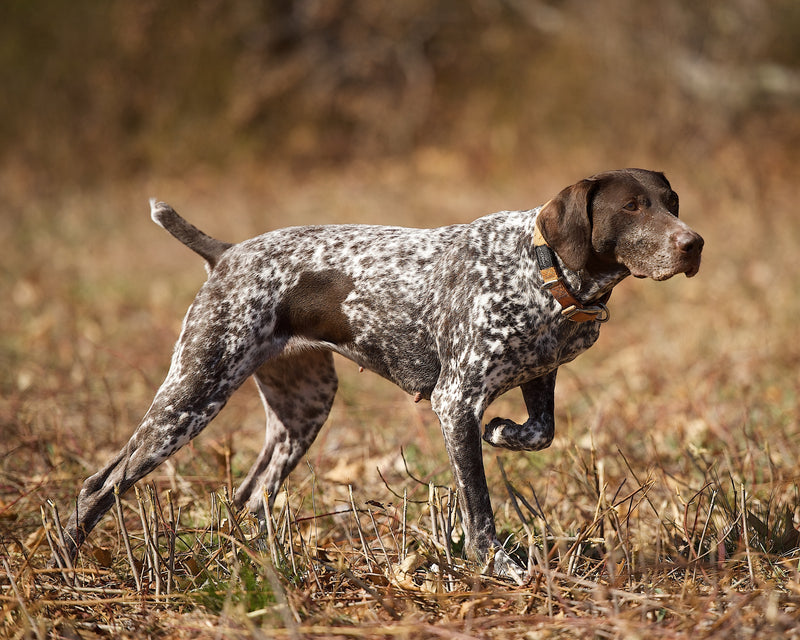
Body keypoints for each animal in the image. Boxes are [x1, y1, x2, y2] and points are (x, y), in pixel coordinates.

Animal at [54, 169, 700, 580]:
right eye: (633, 207)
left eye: (672, 200)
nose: (693, 243)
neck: (542, 267)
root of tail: (228, 253)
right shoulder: (455, 400)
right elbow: (479, 509)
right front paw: (499, 566)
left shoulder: (538, 378)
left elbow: (538, 433)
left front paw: (503, 433)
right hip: (193, 393)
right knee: (101, 484)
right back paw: (65, 566)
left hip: (303, 410)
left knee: (251, 494)